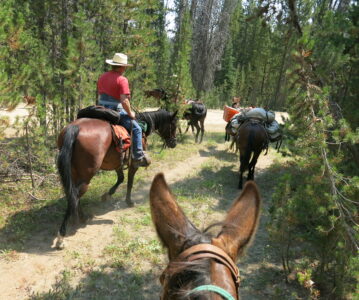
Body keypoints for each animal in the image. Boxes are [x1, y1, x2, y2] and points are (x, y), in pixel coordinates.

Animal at [55, 108, 178, 248]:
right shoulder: (133, 164)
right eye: (174, 125)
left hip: (75, 173)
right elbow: (129, 182)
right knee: (74, 196)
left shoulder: (118, 162)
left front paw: (106, 195)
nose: (174, 143)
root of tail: (75, 128)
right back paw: (62, 237)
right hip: (86, 175)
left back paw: (83, 218)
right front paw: (129, 201)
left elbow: (121, 178)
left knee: (74, 195)